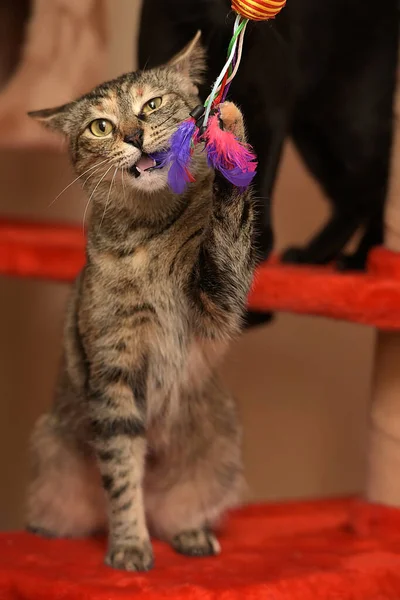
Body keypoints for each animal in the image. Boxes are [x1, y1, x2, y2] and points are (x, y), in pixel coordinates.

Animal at [25, 34, 256, 572]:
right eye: (101, 125)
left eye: (152, 104)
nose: (133, 135)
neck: (148, 234)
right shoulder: (115, 369)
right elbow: (123, 472)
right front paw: (130, 544)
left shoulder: (218, 301)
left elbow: (228, 229)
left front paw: (228, 131)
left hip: (221, 447)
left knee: (181, 510)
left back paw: (192, 534)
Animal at [139, 0, 398, 322]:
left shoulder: (268, 108)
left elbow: (254, 173)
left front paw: (249, 246)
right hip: (314, 133)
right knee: (351, 199)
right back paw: (313, 257)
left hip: (351, 119)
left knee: (374, 190)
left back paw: (363, 262)